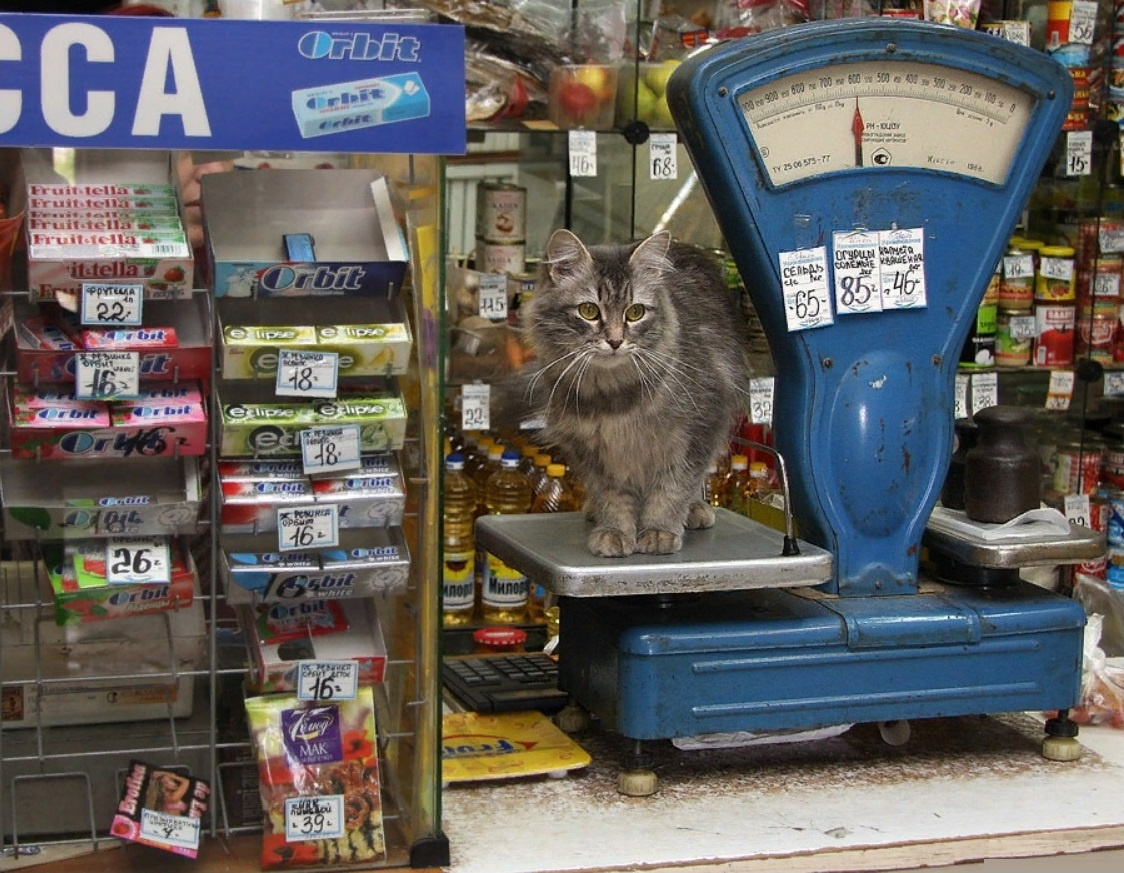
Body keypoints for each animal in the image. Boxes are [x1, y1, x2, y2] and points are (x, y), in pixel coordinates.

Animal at [519, 230, 750, 559]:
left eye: (635, 312)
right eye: (589, 311)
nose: (615, 341)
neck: (614, 399)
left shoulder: (696, 433)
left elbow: (672, 490)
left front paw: (658, 531)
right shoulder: (595, 453)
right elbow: (613, 499)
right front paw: (615, 531)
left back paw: (694, 510)